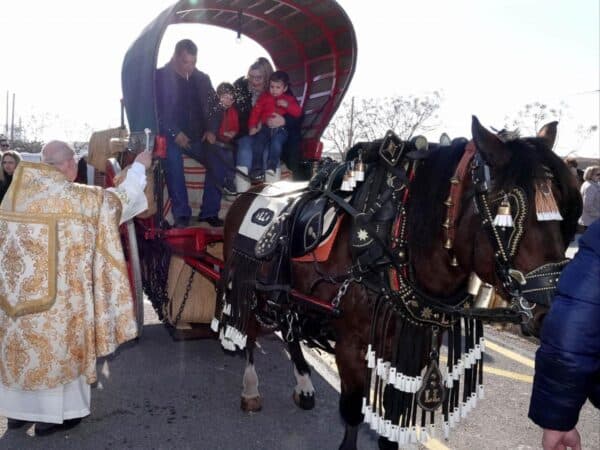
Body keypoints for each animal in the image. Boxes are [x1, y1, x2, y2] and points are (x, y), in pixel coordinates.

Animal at [214, 117, 580, 450]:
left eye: (565, 210)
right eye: (508, 211)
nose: (553, 312)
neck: (393, 243)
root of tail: (252, 189)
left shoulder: (409, 348)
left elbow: (393, 420)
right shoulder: (351, 345)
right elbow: (352, 410)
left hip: (290, 297)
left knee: (289, 332)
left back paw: (303, 383)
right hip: (248, 282)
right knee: (248, 330)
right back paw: (250, 387)